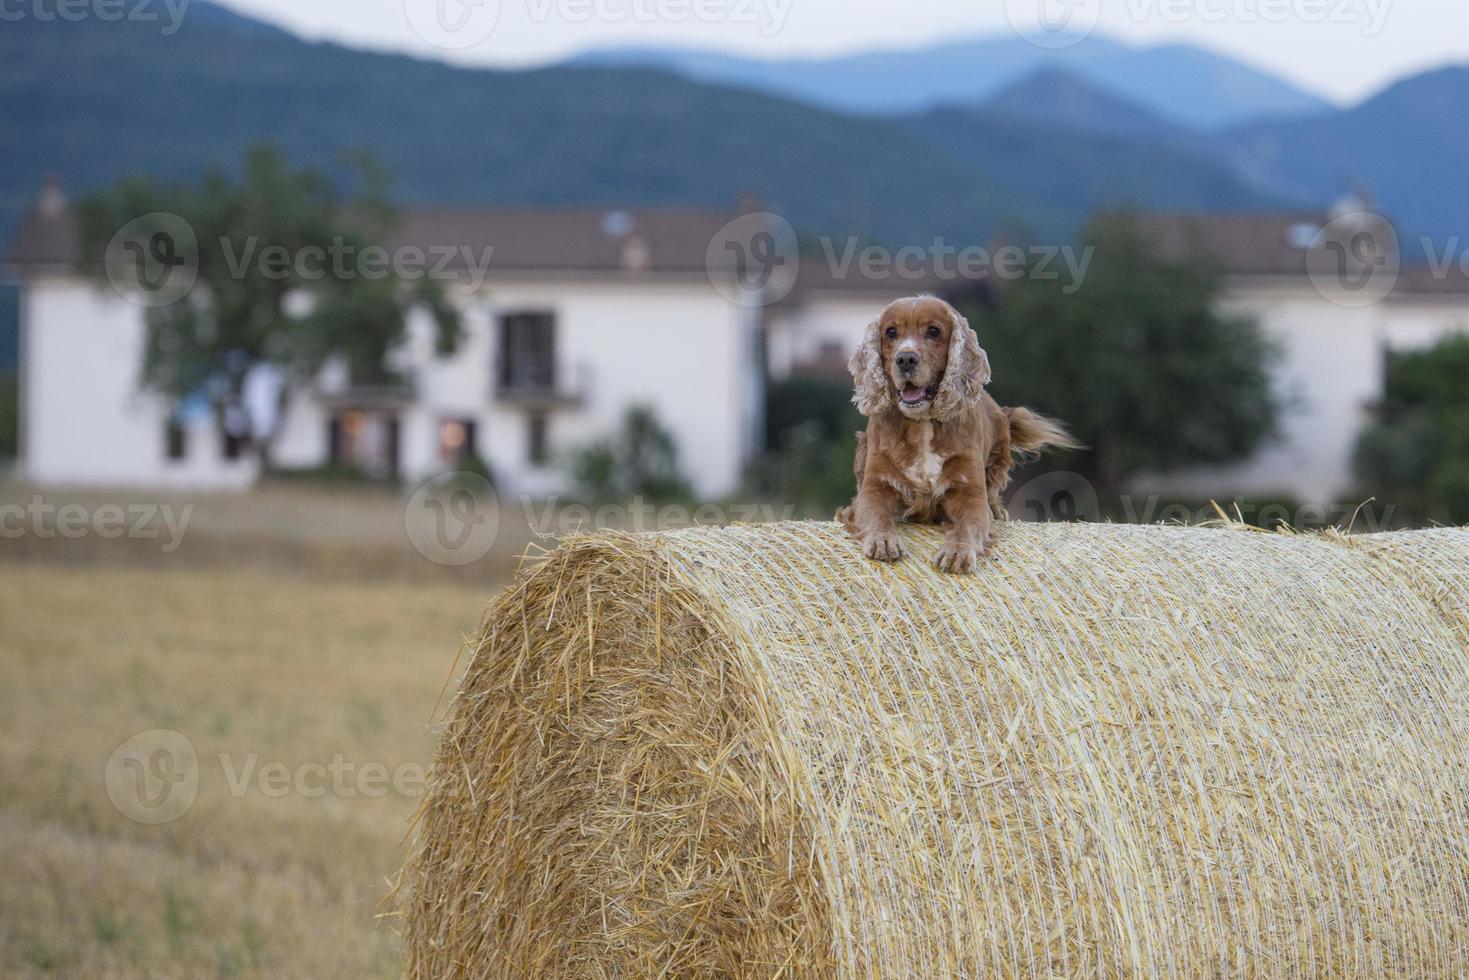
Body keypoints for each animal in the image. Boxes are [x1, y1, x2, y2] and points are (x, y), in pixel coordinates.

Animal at [840, 299, 1081, 575]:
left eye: (934, 331)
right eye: (890, 332)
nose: (905, 359)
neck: (921, 424)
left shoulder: (969, 494)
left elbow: (968, 525)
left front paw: (957, 552)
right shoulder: (876, 488)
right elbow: (876, 515)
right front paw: (883, 540)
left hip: (1000, 448)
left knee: (993, 489)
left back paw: (996, 508)